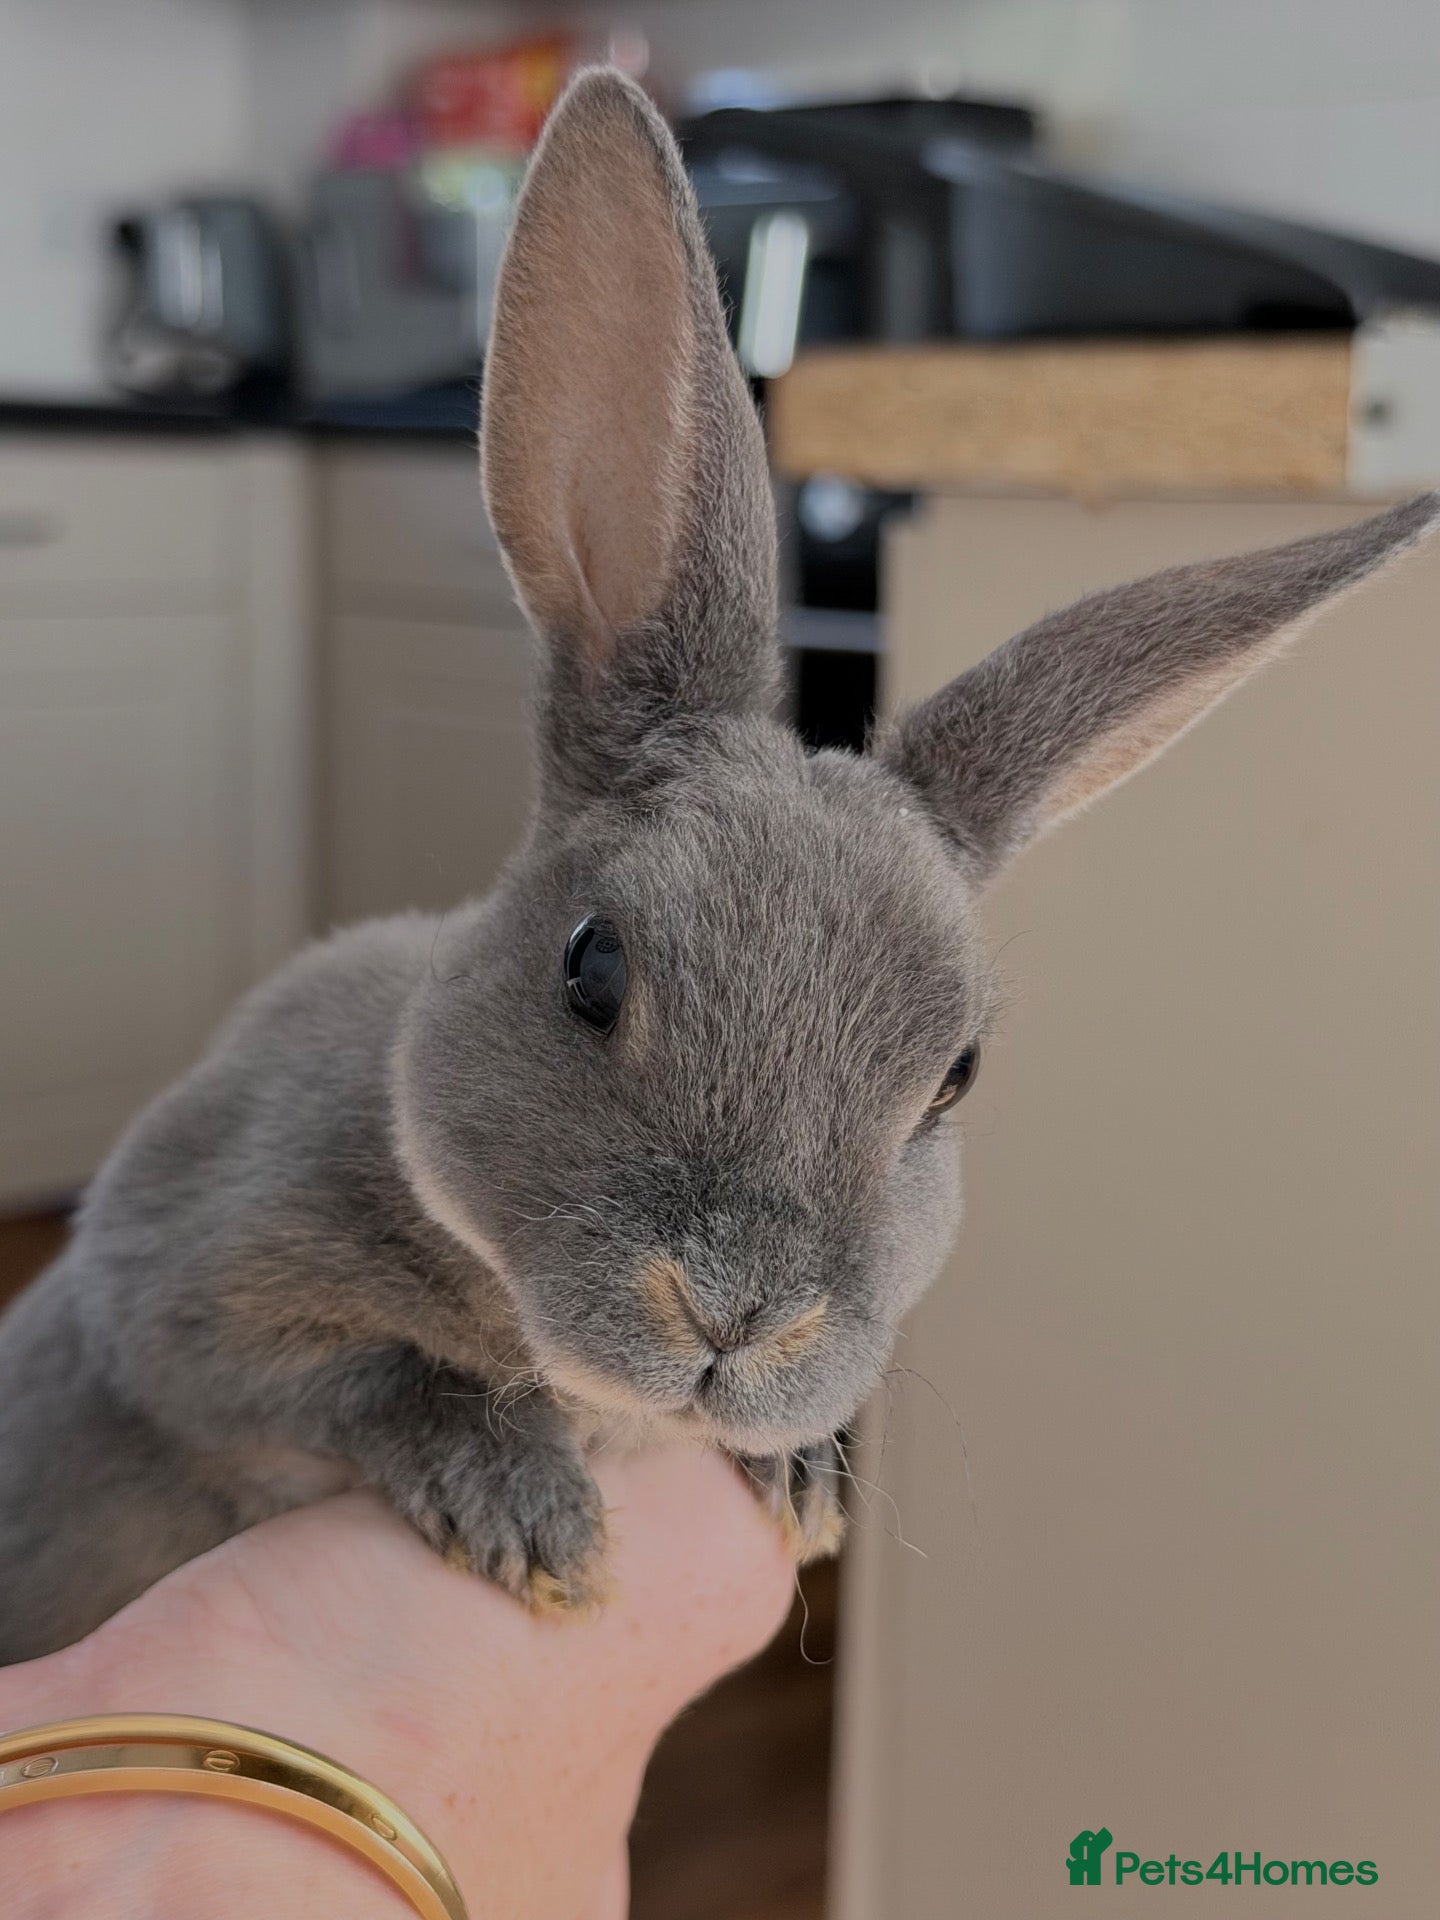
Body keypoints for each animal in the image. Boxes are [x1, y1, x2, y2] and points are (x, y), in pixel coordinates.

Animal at [0, 67, 1436, 1667]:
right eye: (592, 966)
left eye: (956, 1077)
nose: (737, 1319)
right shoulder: (171, 1291)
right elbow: (351, 1378)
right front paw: (530, 1519)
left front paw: (798, 1477)